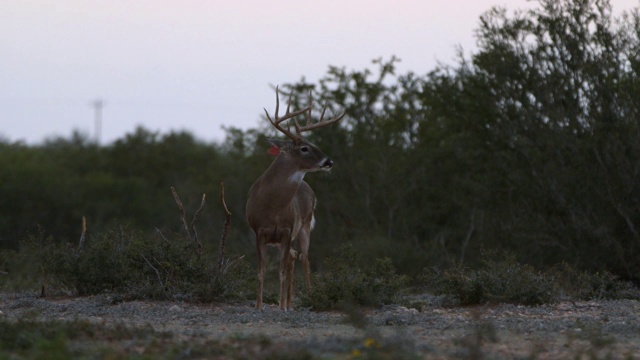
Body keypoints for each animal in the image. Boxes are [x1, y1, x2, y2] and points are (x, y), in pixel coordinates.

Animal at [246, 86, 344, 310]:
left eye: (313, 143)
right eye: (304, 148)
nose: (329, 162)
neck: (272, 206)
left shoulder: (287, 230)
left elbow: (281, 270)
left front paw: (281, 306)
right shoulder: (259, 232)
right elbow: (262, 270)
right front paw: (259, 305)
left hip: (305, 225)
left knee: (304, 258)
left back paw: (309, 297)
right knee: (293, 257)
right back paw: (288, 302)